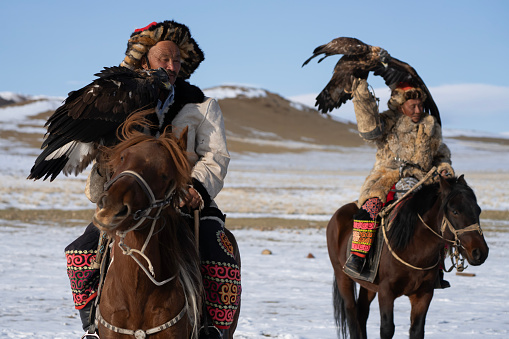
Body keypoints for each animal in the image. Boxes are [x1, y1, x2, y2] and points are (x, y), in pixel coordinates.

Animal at [326, 175, 488, 339]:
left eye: (478, 210)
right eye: (455, 211)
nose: (480, 252)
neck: (413, 251)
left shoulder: (423, 294)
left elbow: (417, 330)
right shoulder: (386, 292)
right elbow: (387, 329)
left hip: (369, 284)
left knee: (361, 313)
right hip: (342, 276)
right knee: (352, 314)